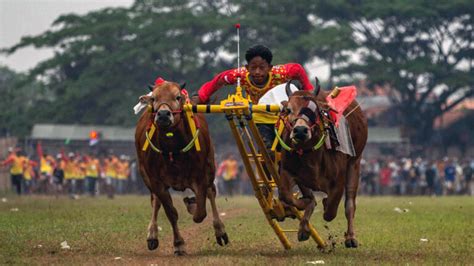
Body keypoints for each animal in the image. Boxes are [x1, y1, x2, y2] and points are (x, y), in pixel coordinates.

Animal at [134, 80, 229, 255]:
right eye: (154, 98)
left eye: (177, 97)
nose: (163, 115)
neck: (173, 150)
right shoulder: (156, 181)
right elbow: (171, 212)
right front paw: (178, 244)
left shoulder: (201, 177)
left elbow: (200, 212)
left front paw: (192, 205)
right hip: (145, 176)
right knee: (155, 201)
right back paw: (152, 235)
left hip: (211, 167)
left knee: (211, 193)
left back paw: (220, 231)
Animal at [276, 81, 368, 247]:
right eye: (289, 110)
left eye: (315, 110)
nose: (300, 130)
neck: (311, 156)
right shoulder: (287, 171)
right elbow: (287, 196)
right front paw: (305, 217)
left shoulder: (339, 180)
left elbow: (331, 210)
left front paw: (324, 204)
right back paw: (304, 227)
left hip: (355, 163)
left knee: (350, 204)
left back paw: (351, 238)